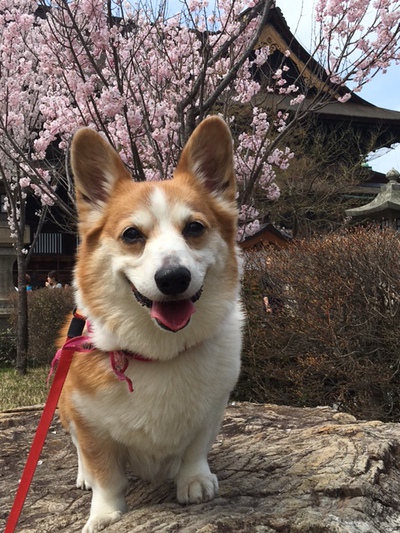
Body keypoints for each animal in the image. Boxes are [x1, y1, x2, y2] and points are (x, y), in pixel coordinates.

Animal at [57, 117, 242, 532]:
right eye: (131, 235)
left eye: (194, 228)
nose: (173, 278)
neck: (161, 353)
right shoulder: (88, 422)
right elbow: (105, 472)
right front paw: (105, 513)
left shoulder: (213, 408)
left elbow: (196, 447)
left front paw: (194, 480)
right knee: (78, 450)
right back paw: (82, 477)